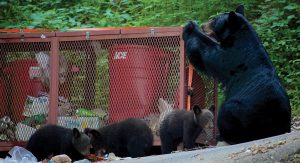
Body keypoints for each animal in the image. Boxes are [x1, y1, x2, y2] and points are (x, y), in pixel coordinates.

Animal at [183, 5, 290, 145]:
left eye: (214, 19)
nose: (203, 25)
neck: (240, 37)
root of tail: (279, 126)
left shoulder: (233, 55)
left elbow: (208, 54)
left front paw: (190, 28)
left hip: (240, 111)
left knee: (226, 113)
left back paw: (222, 136)